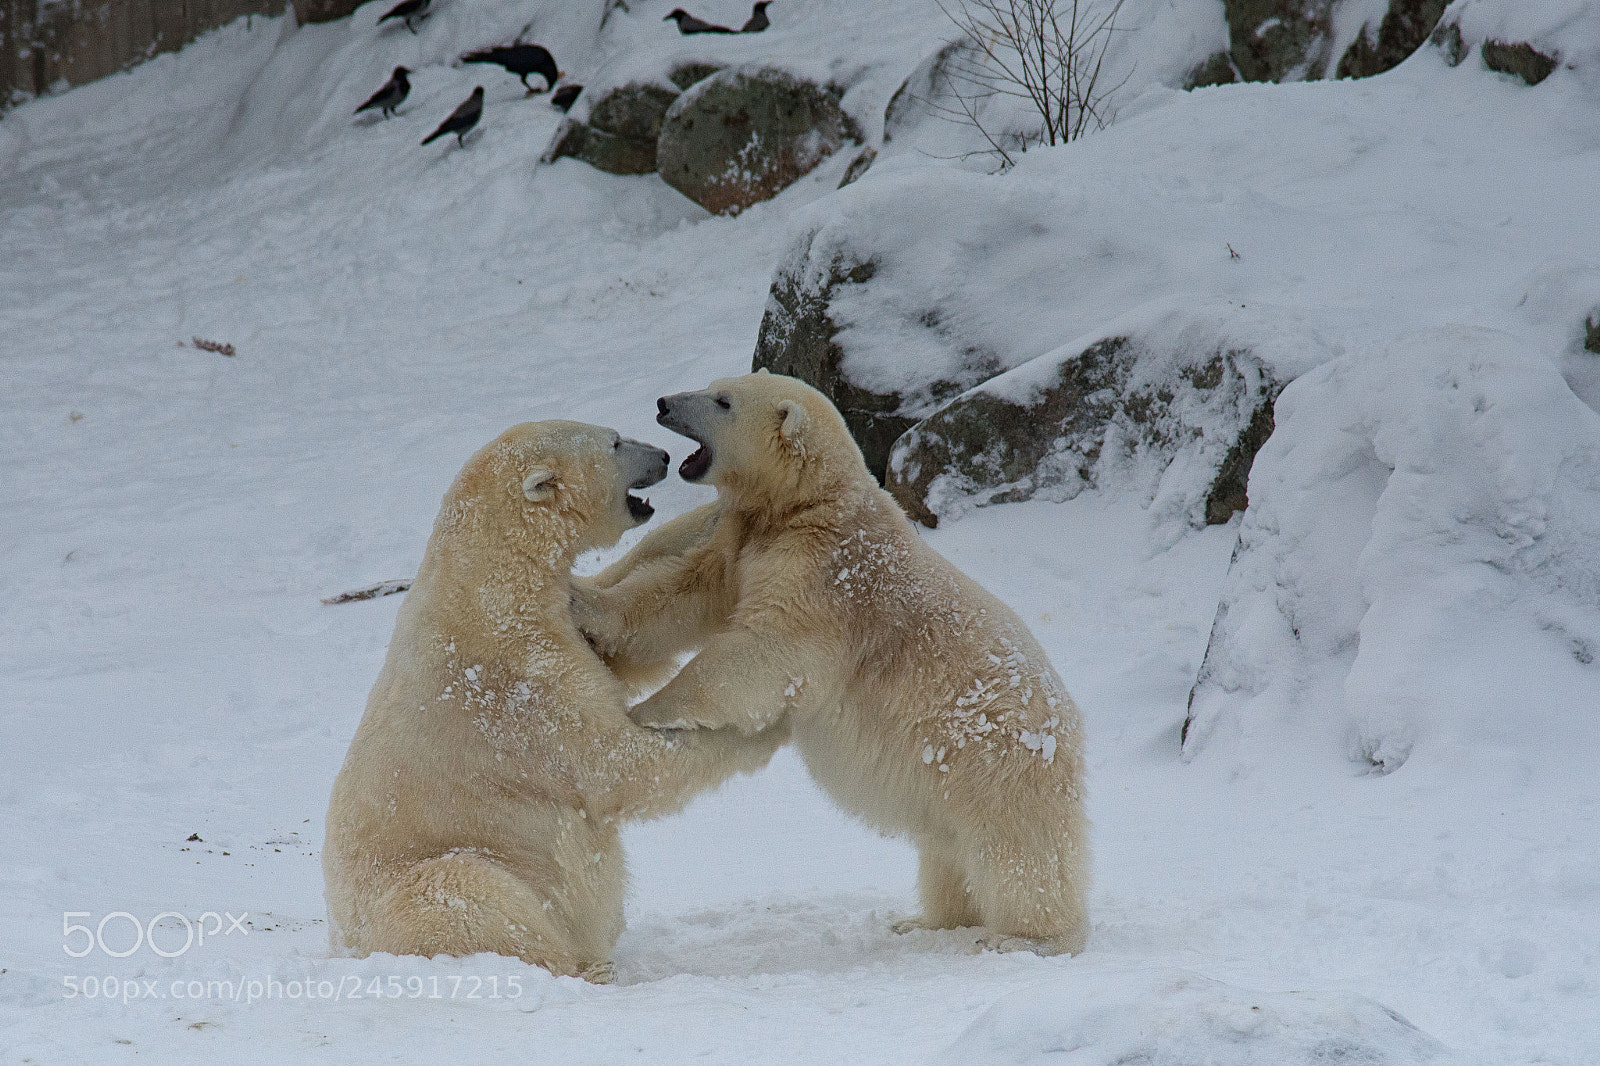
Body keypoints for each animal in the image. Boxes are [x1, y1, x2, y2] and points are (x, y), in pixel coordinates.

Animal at [323, 420, 786, 982]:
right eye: (614, 442)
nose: (661, 455)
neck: (490, 582)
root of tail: (345, 948)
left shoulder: (563, 621)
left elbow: (622, 628)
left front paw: (717, 513)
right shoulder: (522, 684)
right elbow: (615, 765)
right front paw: (762, 729)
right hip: (432, 883)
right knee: (467, 894)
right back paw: (583, 965)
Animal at [572, 373, 1090, 955]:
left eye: (723, 401)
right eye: (713, 386)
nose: (663, 403)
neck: (808, 505)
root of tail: (1067, 723)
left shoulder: (824, 579)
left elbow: (762, 648)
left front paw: (647, 711)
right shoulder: (745, 547)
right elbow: (682, 593)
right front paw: (583, 604)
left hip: (997, 755)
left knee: (1015, 847)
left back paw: (1029, 938)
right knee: (947, 848)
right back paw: (927, 922)